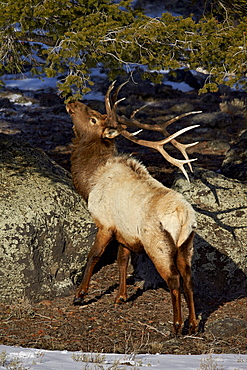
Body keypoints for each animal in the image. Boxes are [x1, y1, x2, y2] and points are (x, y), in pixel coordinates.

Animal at [66, 81, 201, 336]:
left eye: (93, 119)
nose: (71, 101)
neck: (90, 180)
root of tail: (183, 217)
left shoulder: (105, 223)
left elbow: (93, 256)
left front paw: (80, 295)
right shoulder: (125, 233)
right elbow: (122, 261)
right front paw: (120, 297)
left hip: (158, 244)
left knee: (174, 280)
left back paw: (176, 326)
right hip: (186, 244)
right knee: (189, 279)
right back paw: (194, 324)